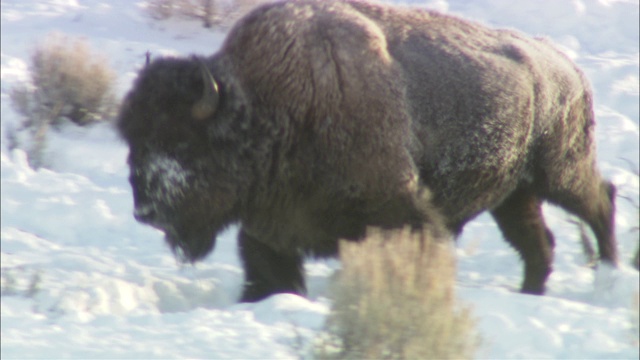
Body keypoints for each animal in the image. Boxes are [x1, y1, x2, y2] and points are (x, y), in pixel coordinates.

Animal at [117, 0, 616, 300]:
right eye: (132, 140)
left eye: (182, 140)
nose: (145, 211)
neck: (267, 107)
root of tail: (567, 69)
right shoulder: (269, 229)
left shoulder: (402, 212)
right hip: (514, 195)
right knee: (538, 241)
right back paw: (531, 291)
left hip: (559, 174)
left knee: (600, 202)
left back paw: (609, 273)